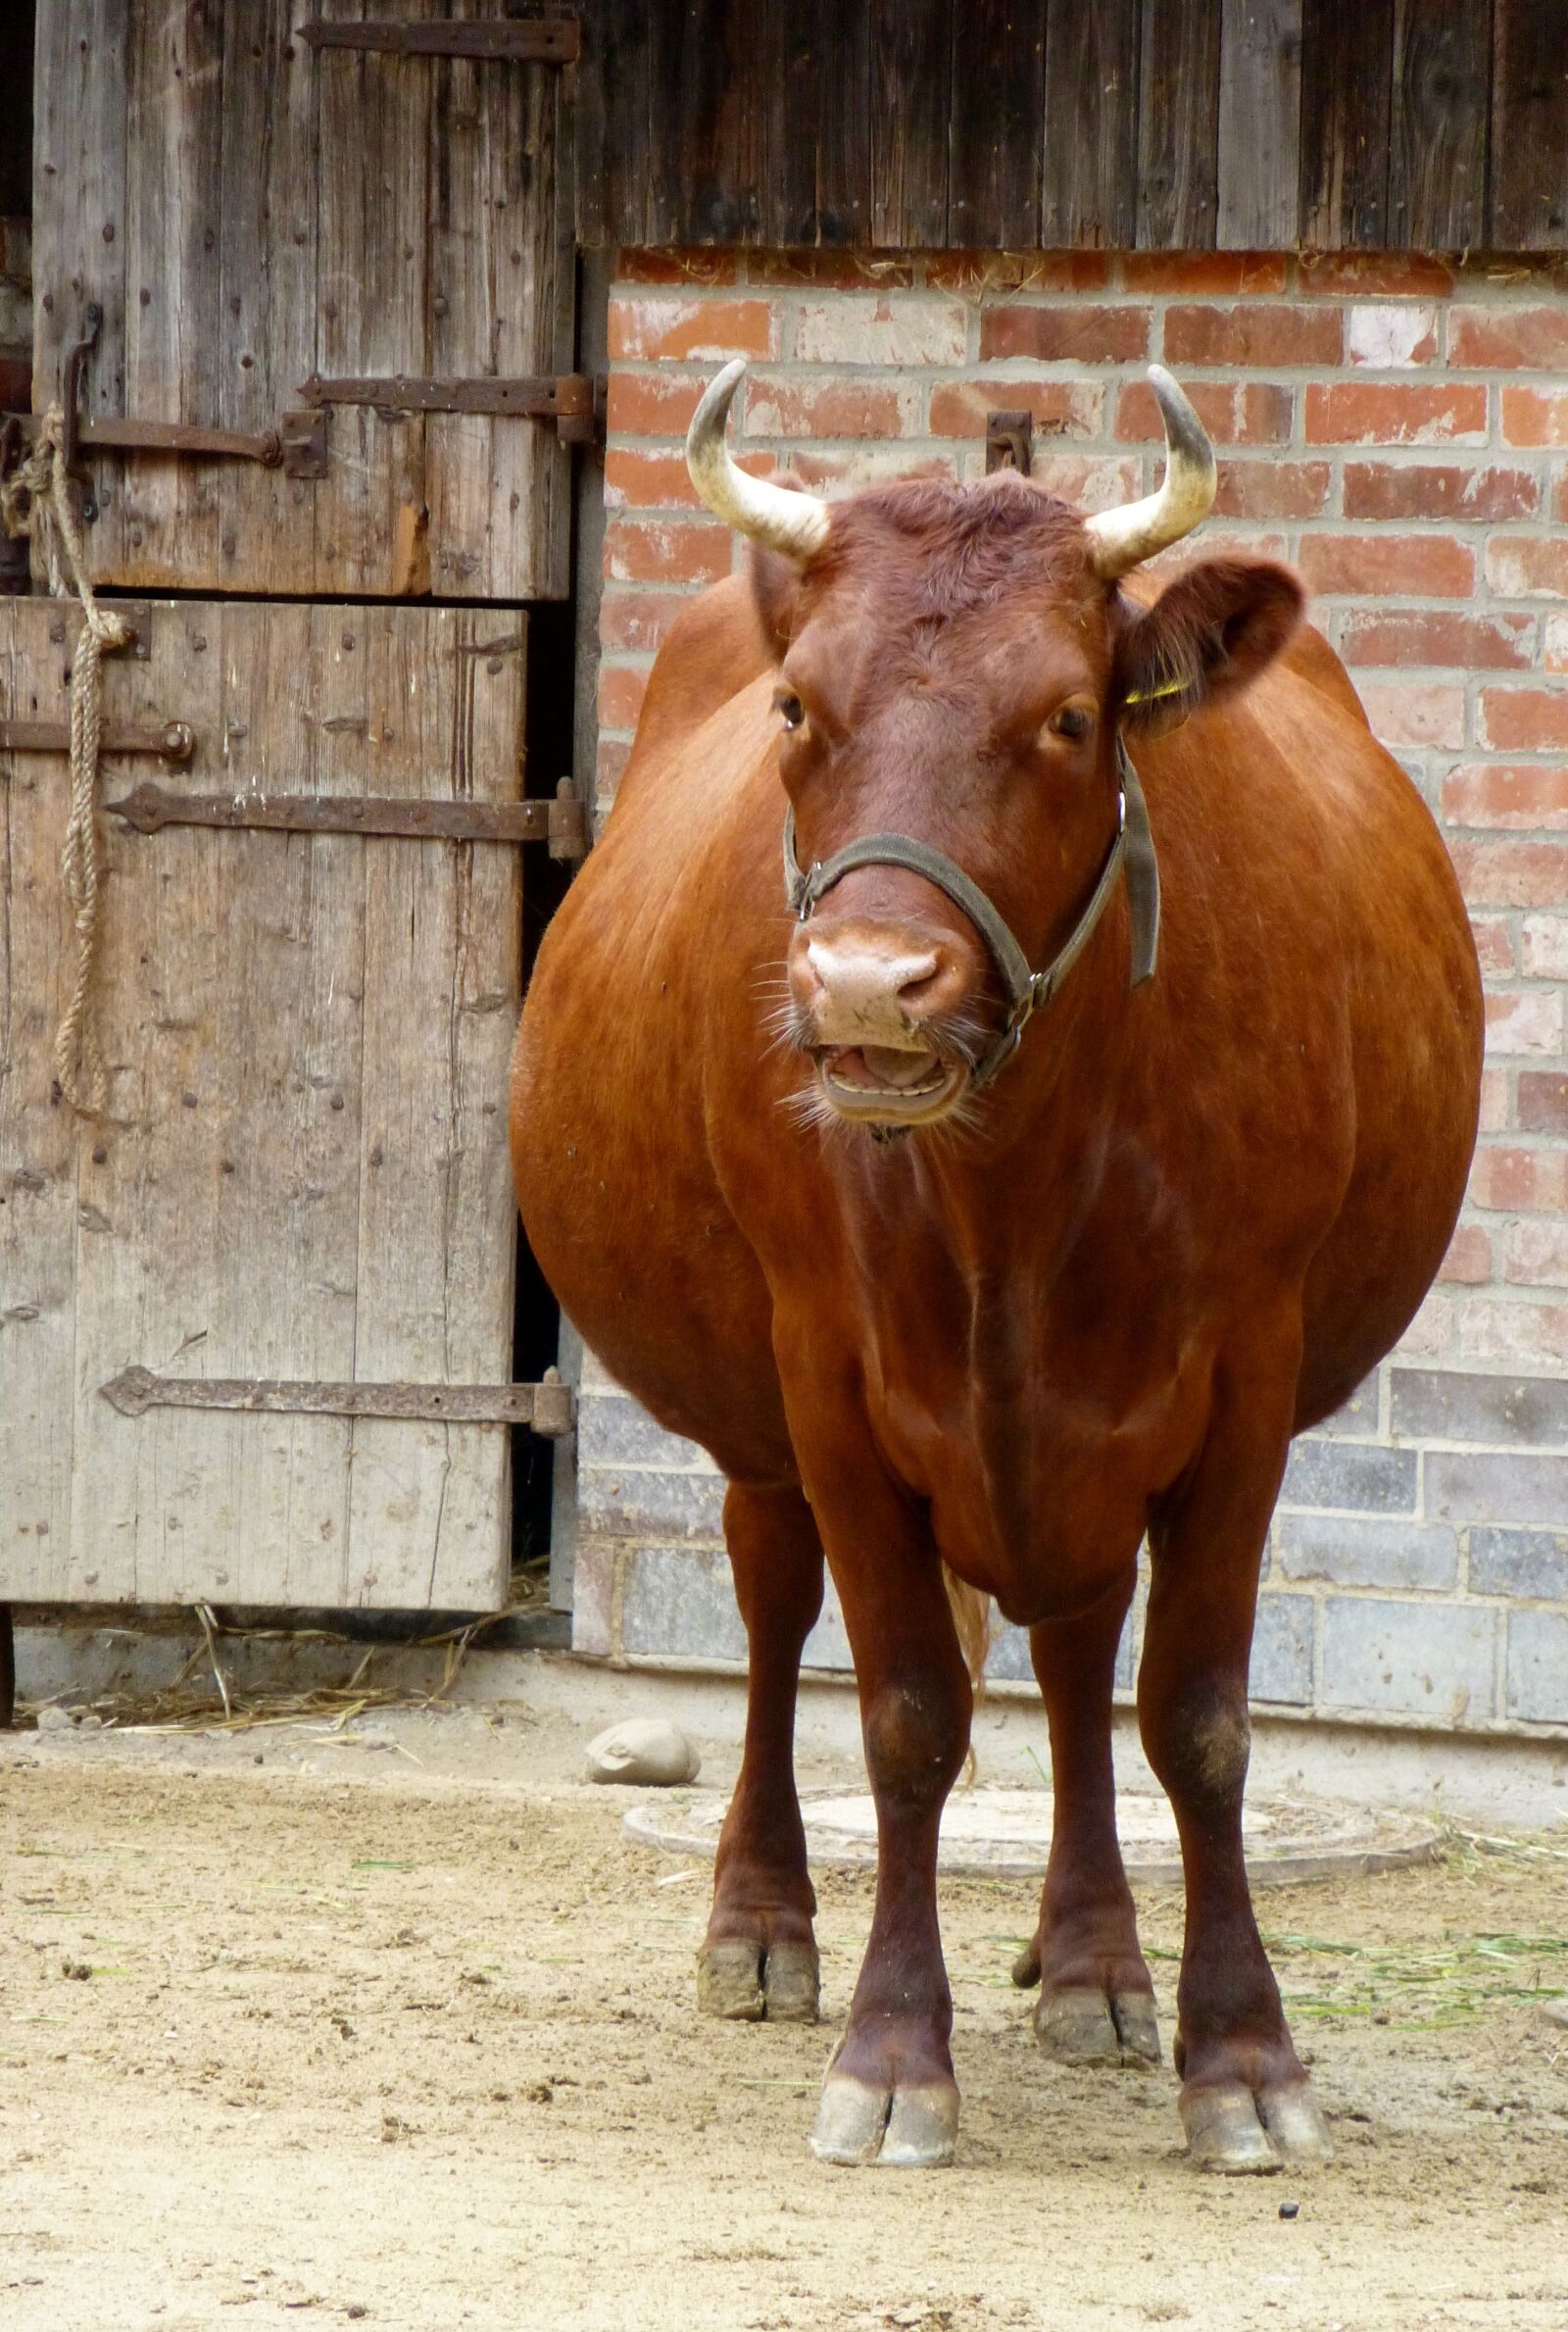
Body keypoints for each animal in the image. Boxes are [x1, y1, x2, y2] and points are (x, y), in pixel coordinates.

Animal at [513, 359, 1482, 2163]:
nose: (864, 985)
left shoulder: (1243, 1381)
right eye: (798, 711)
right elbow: (905, 1712)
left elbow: (1198, 1716)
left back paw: (1092, 1956)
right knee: (772, 1600)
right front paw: (896, 2049)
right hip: (763, 1420)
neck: (1020, 1185)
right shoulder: (830, 1373)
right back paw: (761, 1922)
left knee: (1085, 1649)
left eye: (1068, 717)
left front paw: (1241, 2053)